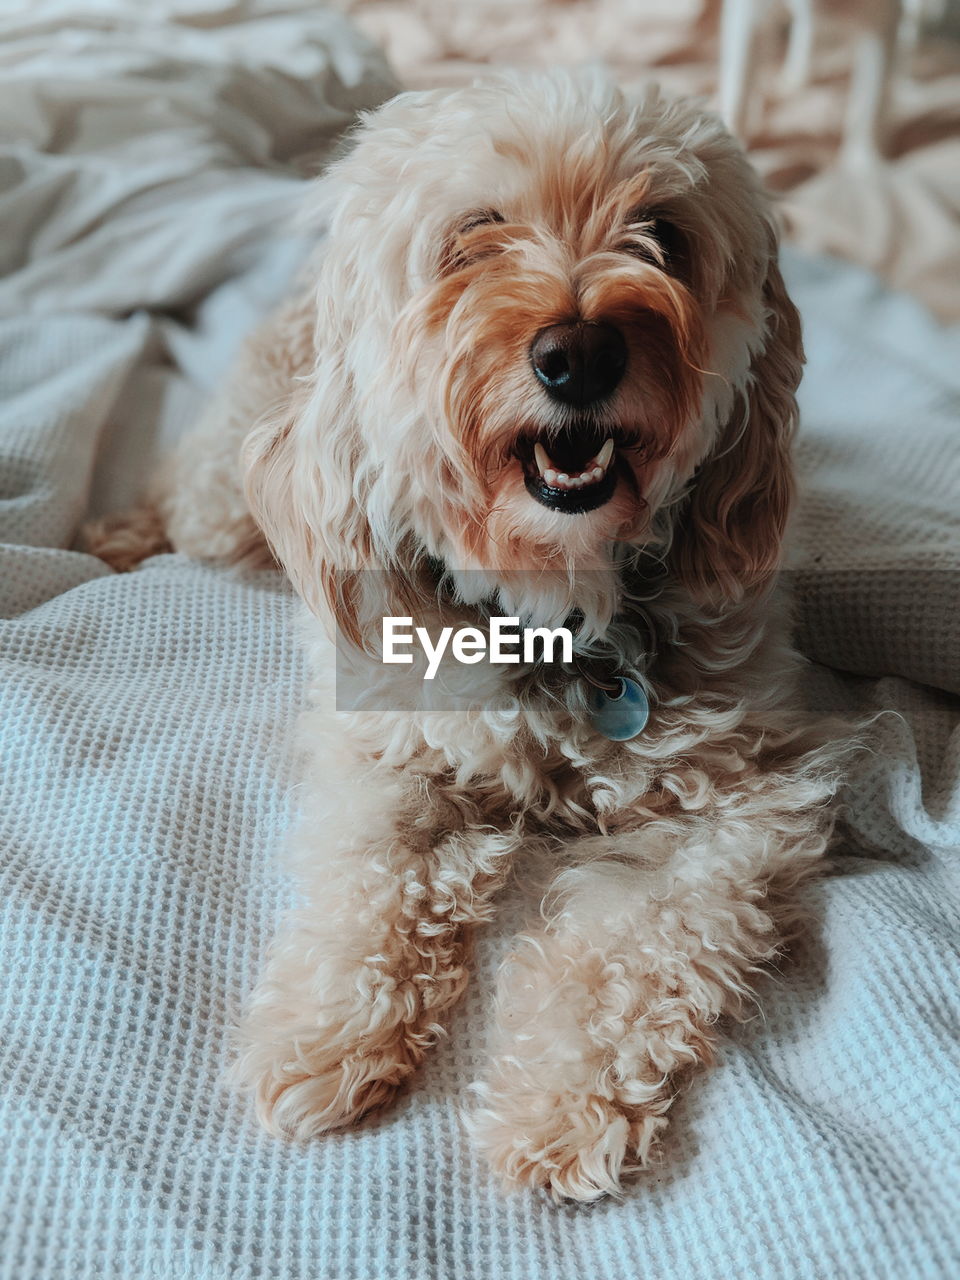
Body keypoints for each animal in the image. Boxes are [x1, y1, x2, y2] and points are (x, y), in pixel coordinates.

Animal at [86, 72, 844, 1198]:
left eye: (663, 234)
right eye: (474, 235)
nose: (579, 353)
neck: (555, 610)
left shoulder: (739, 810)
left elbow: (632, 946)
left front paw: (560, 1100)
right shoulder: (386, 752)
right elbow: (371, 887)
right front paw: (323, 1032)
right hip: (228, 498)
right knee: (179, 490)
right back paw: (118, 533)